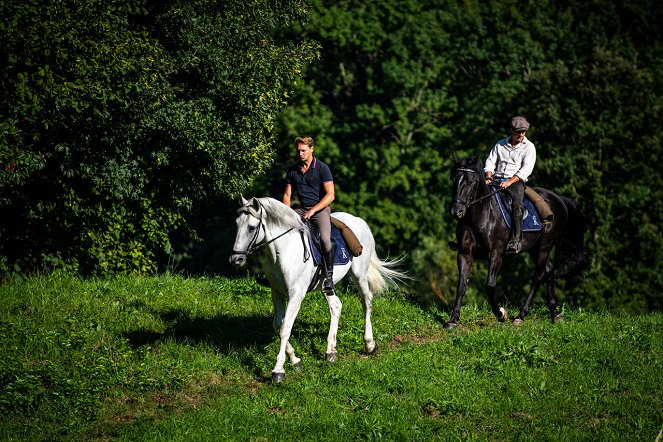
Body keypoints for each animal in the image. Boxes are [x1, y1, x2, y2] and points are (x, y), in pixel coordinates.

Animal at [230, 195, 404, 382]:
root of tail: (359, 220)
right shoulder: (276, 292)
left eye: (251, 227)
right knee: (336, 306)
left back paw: (370, 344)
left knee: (367, 302)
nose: (236, 260)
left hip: (359, 274)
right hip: (326, 285)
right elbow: (278, 326)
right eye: (236, 224)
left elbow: (285, 328)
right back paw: (331, 351)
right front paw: (295, 360)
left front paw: (278, 370)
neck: (284, 250)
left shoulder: (296, 294)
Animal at [448, 155, 588, 328]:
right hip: (534, 248)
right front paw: (452, 320)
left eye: (471, 181)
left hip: (545, 245)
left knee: (538, 277)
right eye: (454, 178)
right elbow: (461, 286)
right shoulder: (464, 253)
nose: (457, 211)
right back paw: (555, 313)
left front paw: (501, 314)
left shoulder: (496, 254)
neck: (480, 215)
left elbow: (489, 286)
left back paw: (520, 316)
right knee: (548, 270)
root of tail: (560, 199)